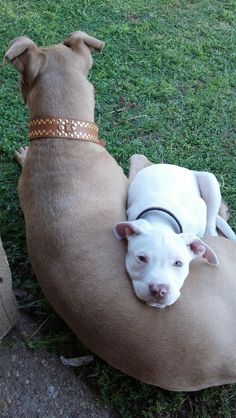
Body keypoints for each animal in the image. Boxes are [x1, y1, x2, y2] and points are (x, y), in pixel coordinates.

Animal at [114, 163, 234, 306]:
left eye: (178, 263)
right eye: (141, 258)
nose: (159, 290)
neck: (161, 220)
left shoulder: (200, 208)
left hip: (210, 182)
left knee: (211, 224)